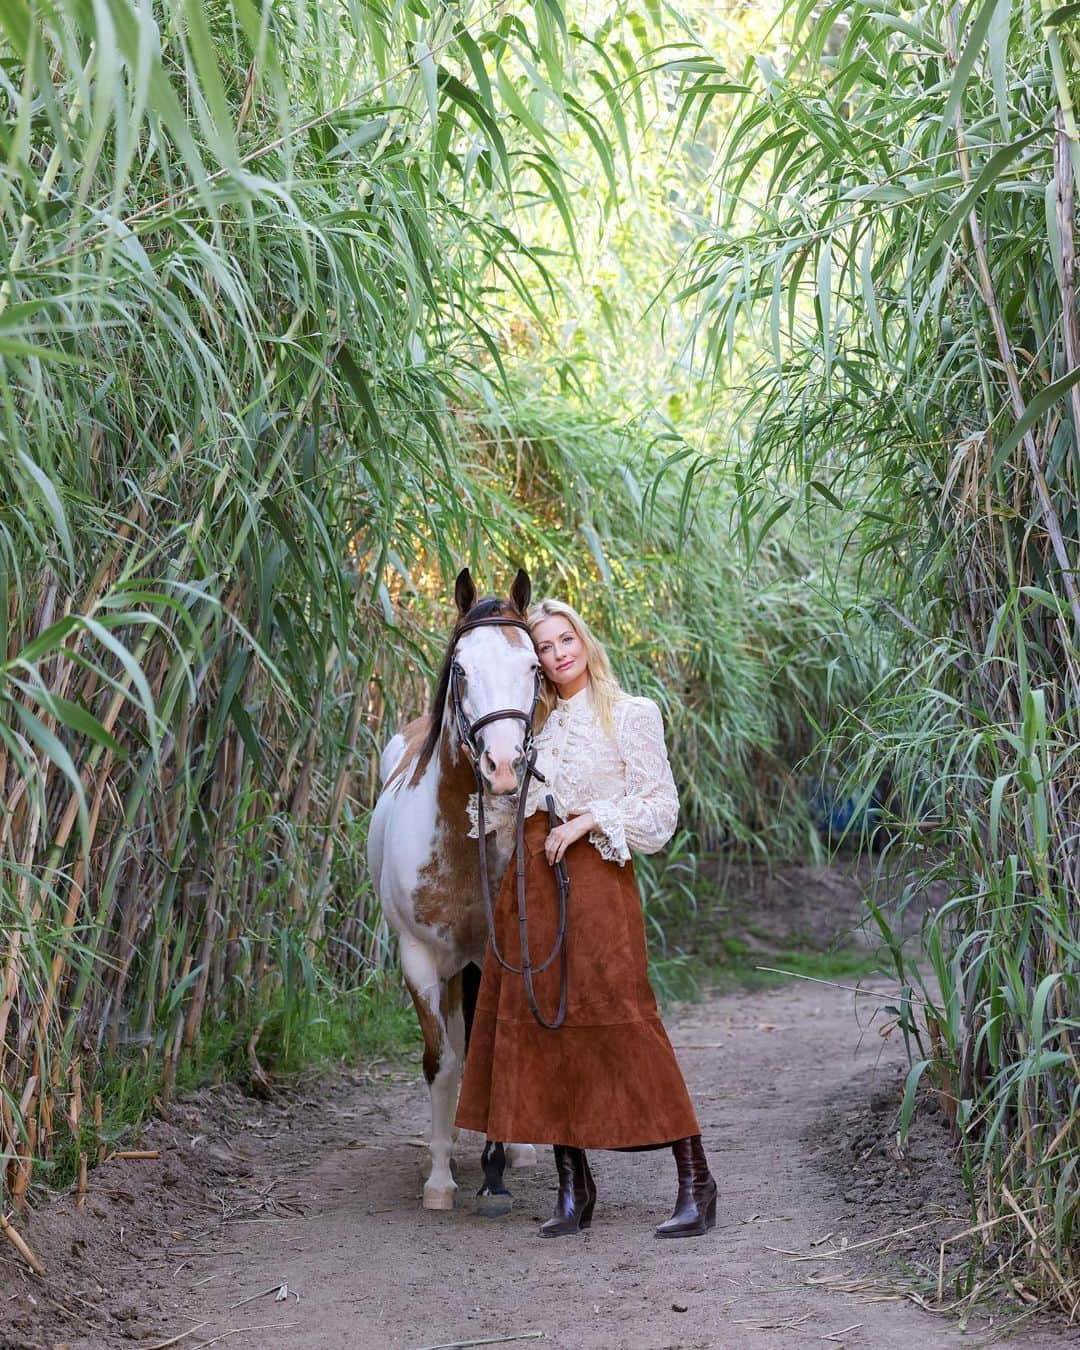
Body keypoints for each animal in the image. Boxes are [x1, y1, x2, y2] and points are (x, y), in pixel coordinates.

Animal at [369, 564, 540, 1209]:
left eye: (534, 665)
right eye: (462, 669)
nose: (503, 768)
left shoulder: (499, 956)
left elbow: (495, 1050)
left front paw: (498, 1163)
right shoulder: (418, 959)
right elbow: (440, 1062)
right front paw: (440, 1177)